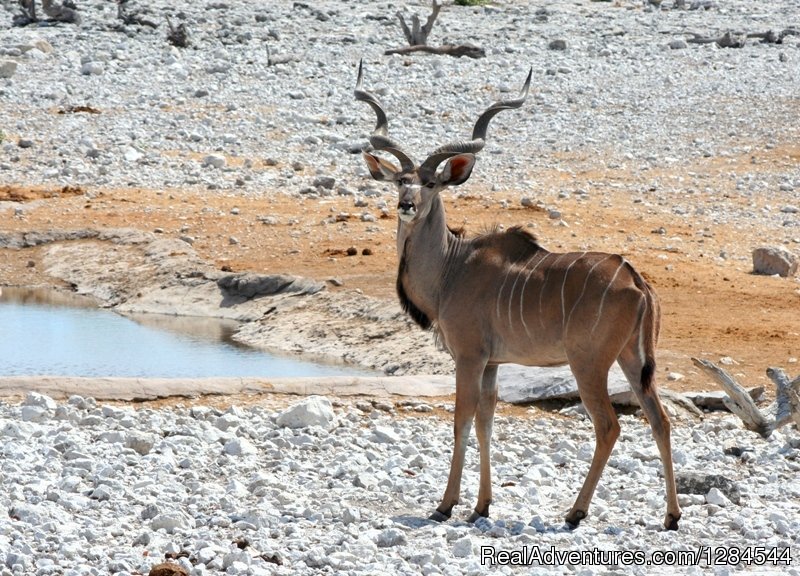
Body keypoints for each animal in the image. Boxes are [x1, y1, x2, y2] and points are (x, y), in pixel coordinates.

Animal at [354, 60, 680, 528]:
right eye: (401, 180)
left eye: (432, 183)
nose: (407, 205)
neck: (452, 268)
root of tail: (637, 281)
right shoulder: (492, 363)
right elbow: (486, 423)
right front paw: (481, 506)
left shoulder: (469, 357)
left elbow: (461, 420)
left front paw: (445, 505)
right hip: (632, 360)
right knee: (660, 420)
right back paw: (671, 516)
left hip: (588, 363)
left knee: (609, 425)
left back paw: (576, 512)